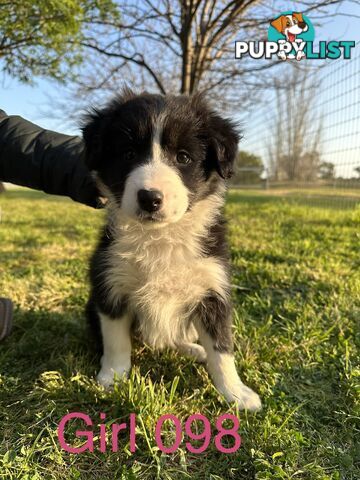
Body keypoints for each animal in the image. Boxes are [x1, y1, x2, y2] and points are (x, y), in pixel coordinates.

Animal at [82, 90, 262, 412]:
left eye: (183, 157)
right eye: (128, 154)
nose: (149, 198)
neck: (160, 237)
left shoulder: (212, 289)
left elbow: (222, 348)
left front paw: (236, 392)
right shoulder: (110, 283)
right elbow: (116, 339)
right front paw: (112, 376)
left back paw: (194, 350)